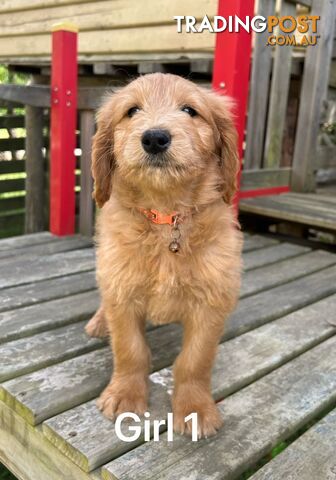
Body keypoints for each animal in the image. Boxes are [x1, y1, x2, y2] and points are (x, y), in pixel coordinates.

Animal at [86, 72, 242, 438]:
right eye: (131, 111)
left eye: (189, 110)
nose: (155, 138)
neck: (166, 217)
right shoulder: (121, 289)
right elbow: (130, 350)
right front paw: (125, 395)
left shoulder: (211, 301)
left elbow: (194, 361)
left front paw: (195, 408)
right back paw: (99, 321)